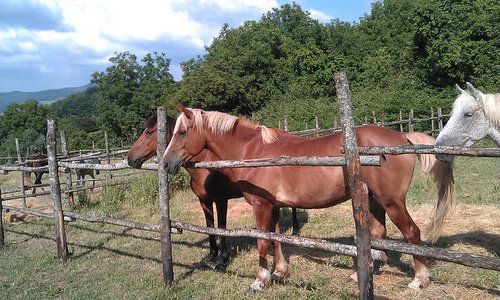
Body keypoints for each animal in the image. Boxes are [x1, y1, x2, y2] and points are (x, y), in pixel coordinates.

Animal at [129, 112, 300, 270]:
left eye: (149, 132)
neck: (206, 164)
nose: (130, 158)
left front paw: (223, 260)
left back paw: (296, 230)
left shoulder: (221, 200)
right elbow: (209, 226)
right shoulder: (204, 200)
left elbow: (221, 227)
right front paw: (212, 256)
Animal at [162, 106, 456, 292]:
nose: (165, 163)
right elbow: (276, 239)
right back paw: (359, 275)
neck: (252, 151)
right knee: (378, 234)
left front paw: (259, 281)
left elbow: (262, 242)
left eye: (182, 132)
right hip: (374, 200)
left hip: (392, 201)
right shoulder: (274, 205)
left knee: (412, 233)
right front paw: (280, 272)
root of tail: (401, 135)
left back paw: (419, 280)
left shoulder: (261, 205)